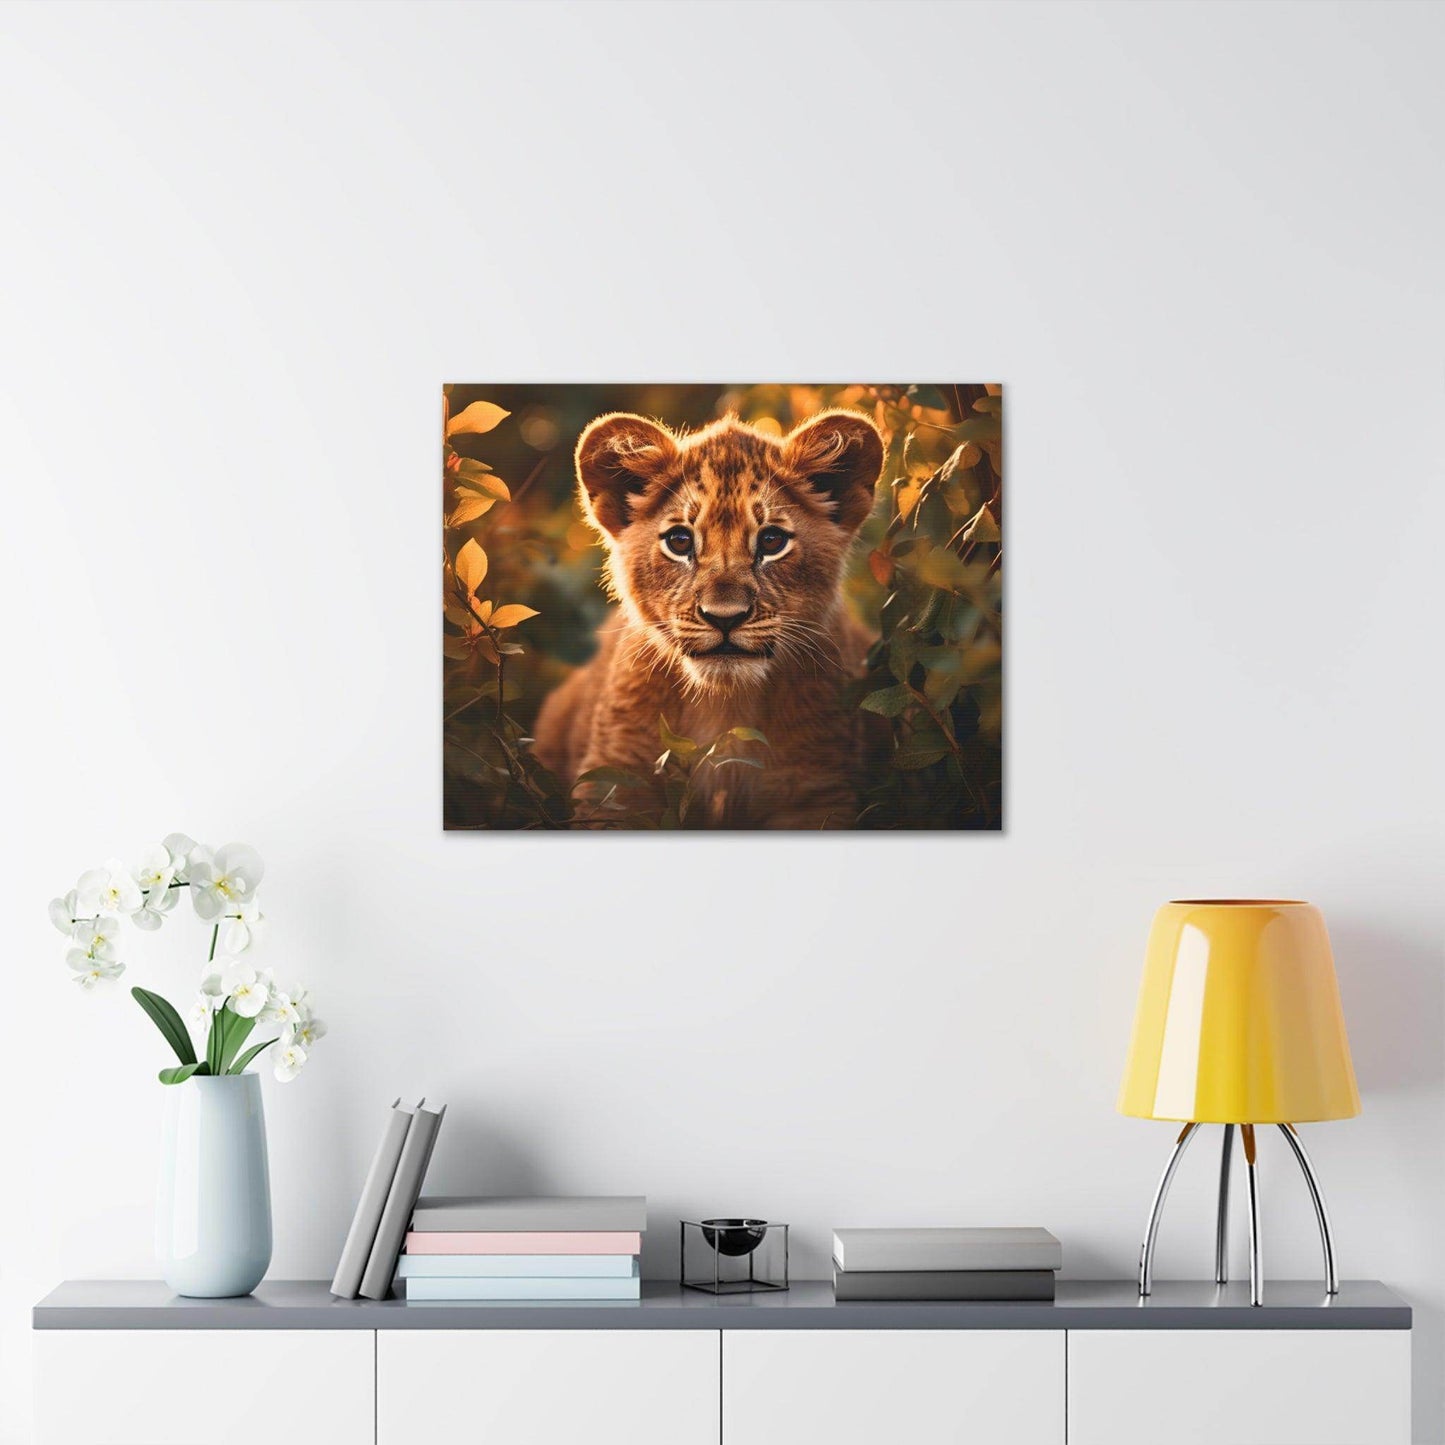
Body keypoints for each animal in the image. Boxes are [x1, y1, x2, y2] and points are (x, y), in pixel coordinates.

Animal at [531, 408, 887, 829]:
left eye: (771, 541)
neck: (726, 707)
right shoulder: (615, 783)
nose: (725, 618)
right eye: (680, 541)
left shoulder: (816, 790)